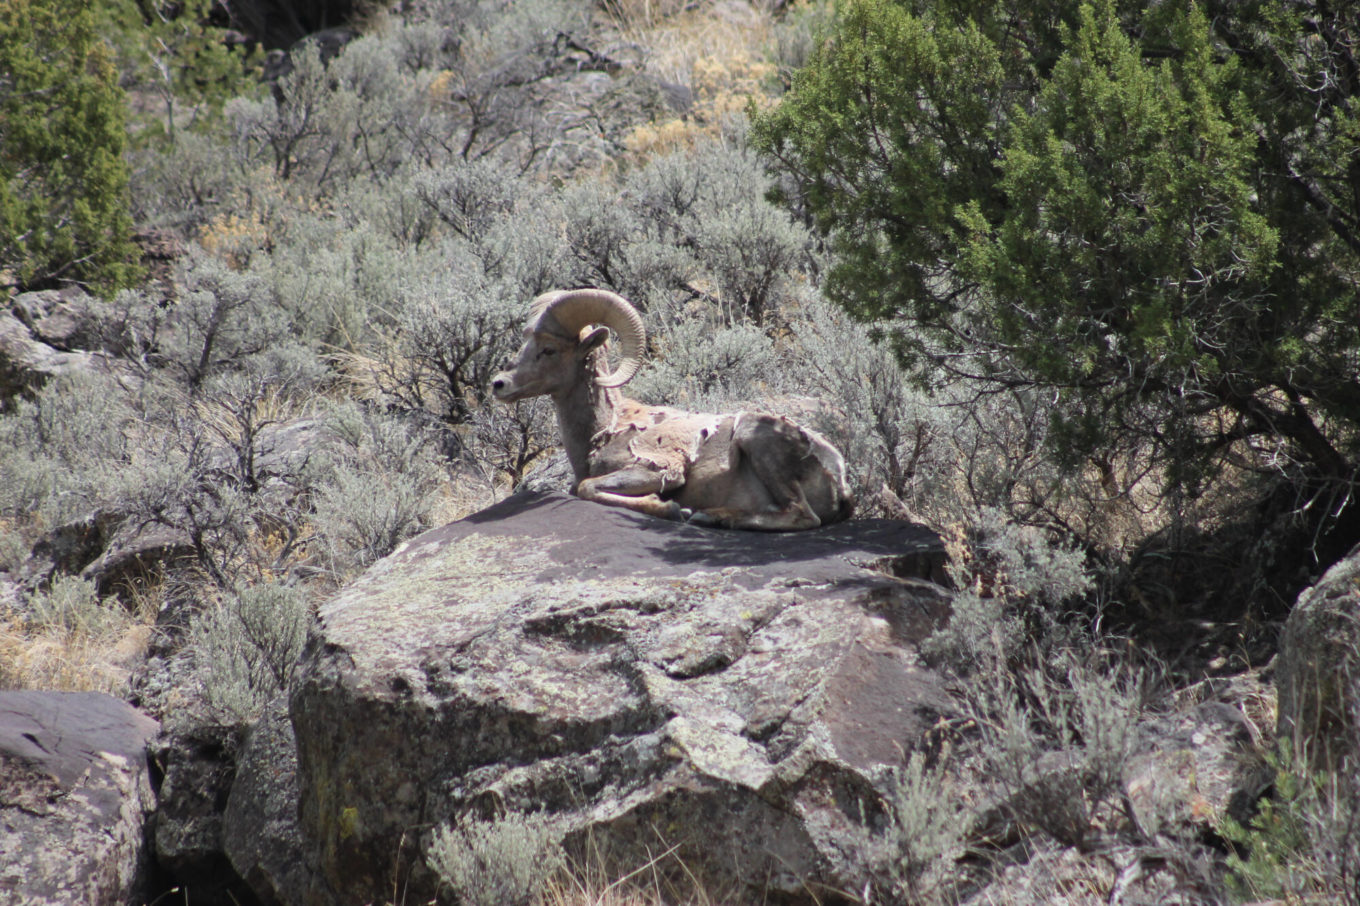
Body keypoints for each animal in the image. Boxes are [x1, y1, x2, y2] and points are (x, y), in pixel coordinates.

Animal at [489, 289, 848, 530]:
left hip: (754, 436)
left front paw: (673, 508)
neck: (605, 429)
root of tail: (839, 475)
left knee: (803, 516)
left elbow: (585, 487)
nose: (499, 384)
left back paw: (710, 516)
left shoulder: (659, 471)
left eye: (549, 350)